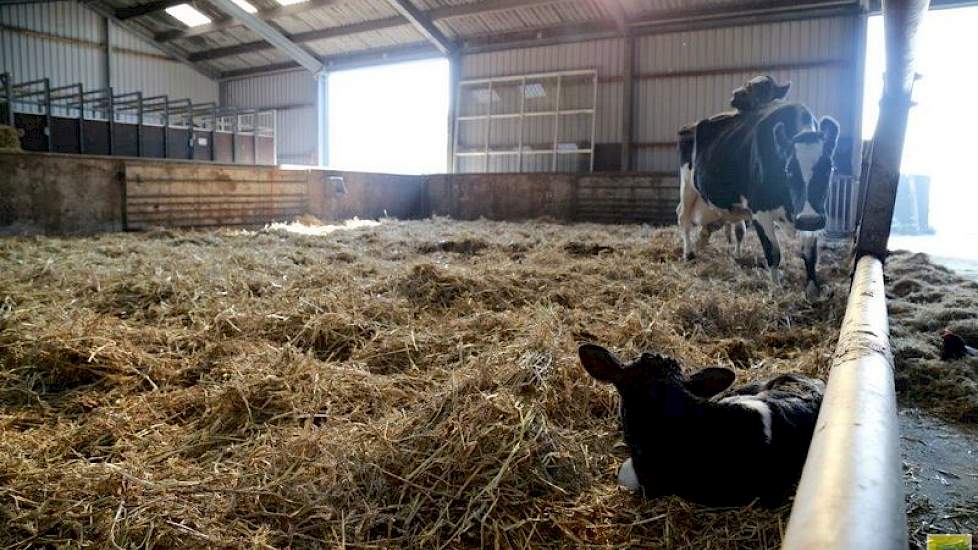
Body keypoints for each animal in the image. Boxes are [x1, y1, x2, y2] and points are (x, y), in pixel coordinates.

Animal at [676, 99, 836, 298]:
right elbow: (773, 252)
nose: (809, 220)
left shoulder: (810, 216)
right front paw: (775, 289)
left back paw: (735, 254)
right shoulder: (760, 211)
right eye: (789, 170)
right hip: (688, 186)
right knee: (683, 218)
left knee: (737, 230)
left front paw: (812, 291)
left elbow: (810, 254)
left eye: (829, 168)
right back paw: (688, 253)